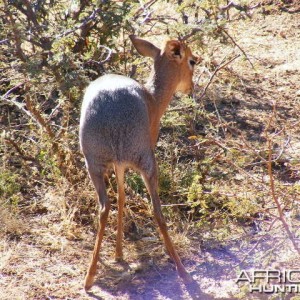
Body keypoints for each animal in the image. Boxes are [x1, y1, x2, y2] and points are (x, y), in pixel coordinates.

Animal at [79, 35, 197, 290]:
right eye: (192, 60)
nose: (190, 88)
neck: (152, 99)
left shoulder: (119, 164)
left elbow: (122, 196)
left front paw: (118, 253)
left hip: (94, 165)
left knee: (104, 206)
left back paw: (89, 277)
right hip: (147, 164)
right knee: (157, 210)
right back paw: (183, 273)